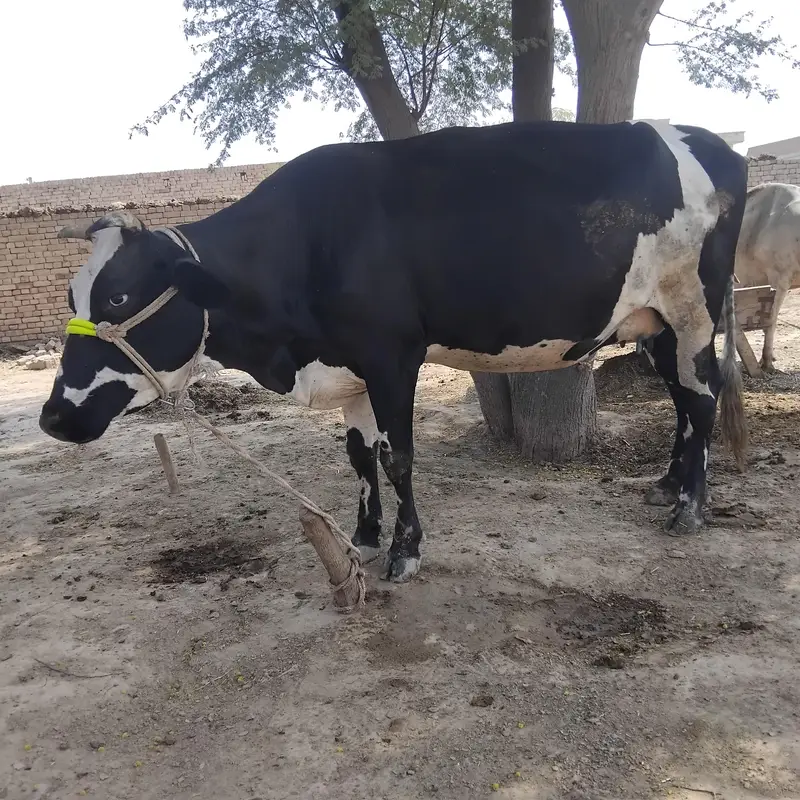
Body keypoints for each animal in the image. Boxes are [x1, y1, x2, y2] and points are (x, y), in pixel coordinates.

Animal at [38, 119, 749, 583]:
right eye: (73, 296)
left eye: (119, 298)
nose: (53, 416)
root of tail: (712, 142)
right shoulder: (348, 367)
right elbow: (359, 455)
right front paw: (363, 534)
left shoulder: (391, 358)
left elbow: (397, 455)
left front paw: (406, 551)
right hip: (654, 323)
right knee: (682, 398)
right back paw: (666, 485)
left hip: (692, 307)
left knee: (702, 397)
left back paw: (690, 507)